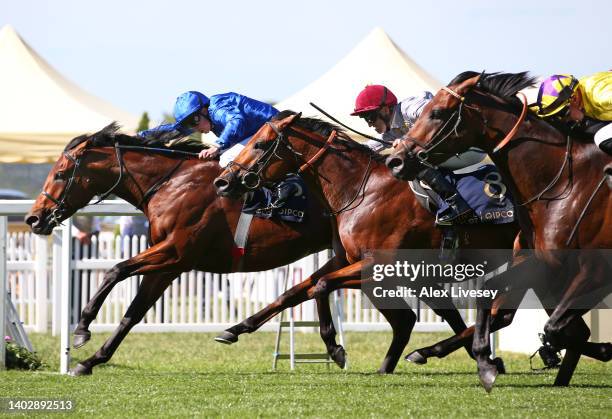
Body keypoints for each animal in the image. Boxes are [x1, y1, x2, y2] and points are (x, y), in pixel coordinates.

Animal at [213, 111, 520, 374]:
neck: (362, 190)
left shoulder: (381, 266)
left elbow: (320, 286)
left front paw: (335, 348)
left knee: (500, 315)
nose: (223, 181)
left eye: (260, 144)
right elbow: (296, 291)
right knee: (500, 315)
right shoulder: (347, 260)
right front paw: (236, 328)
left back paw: (431, 352)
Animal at [388, 71, 612, 390]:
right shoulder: (542, 262)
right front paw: (485, 362)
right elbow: (490, 294)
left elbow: (555, 327)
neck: (564, 184)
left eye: (438, 112)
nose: (395, 161)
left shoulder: (596, 269)